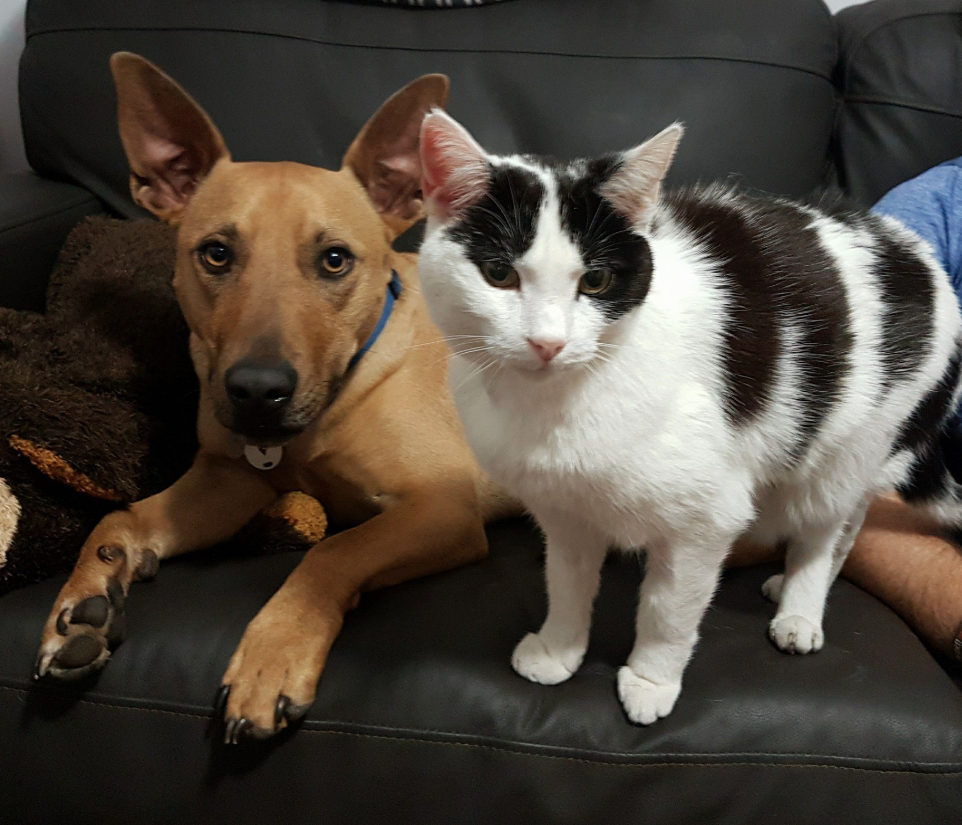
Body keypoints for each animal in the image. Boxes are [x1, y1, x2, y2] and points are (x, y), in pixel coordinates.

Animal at [30, 54, 512, 744]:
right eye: (216, 253)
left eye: (335, 260)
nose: (258, 391)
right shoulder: (226, 482)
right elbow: (117, 518)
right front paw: (86, 599)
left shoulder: (441, 508)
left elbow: (332, 552)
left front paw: (271, 659)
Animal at [416, 109, 960, 720]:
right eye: (498, 274)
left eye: (596, 281)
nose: (548, 343)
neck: (556, 402)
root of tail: (914, 248)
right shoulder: (566, 510)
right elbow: (567, 580)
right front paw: (559, 649)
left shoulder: (706, 519)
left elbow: (668, 610)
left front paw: (651, 680)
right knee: (850, 522)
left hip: (847, 449)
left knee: (824, 528)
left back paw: (801, 605)